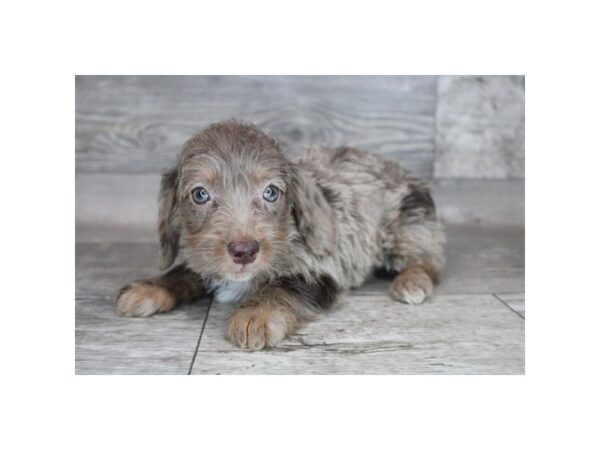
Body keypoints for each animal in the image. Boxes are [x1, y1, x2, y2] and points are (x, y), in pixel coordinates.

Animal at [116, 119, 446, 348]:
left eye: (271, 192)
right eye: (200, 195)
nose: (244, 251)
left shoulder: (321, 269)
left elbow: (284, 287)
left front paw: (256, 315)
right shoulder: (205, 256)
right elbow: (187, 271)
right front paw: (150, 288)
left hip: (406, 226)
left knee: (428, 261)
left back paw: (412, 282)